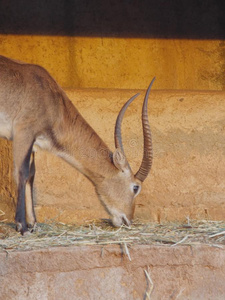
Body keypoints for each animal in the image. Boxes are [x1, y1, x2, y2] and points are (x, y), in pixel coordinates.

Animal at [0, 55, 155, 234]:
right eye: (135, 187)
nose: (127, 220)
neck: (52, 100)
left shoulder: (33, 143)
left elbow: (31, 175)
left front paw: (33, 223)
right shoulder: (24, 133)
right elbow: (22, 172)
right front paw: (22, 226)